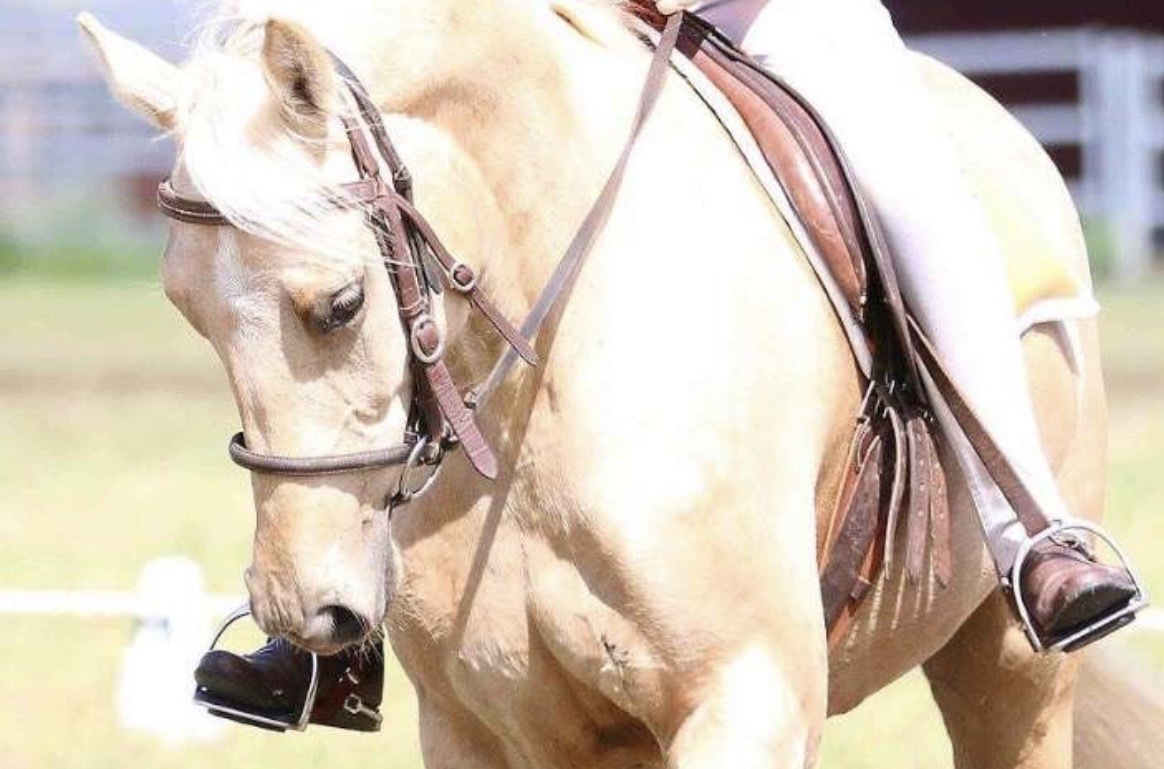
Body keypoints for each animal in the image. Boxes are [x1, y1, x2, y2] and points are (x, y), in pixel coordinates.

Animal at [80, 1, 1162, 766]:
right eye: (187, 310)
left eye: (340, 304)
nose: (304, 610)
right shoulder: (485, 729)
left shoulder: (746, 701)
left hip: (1009, 666)